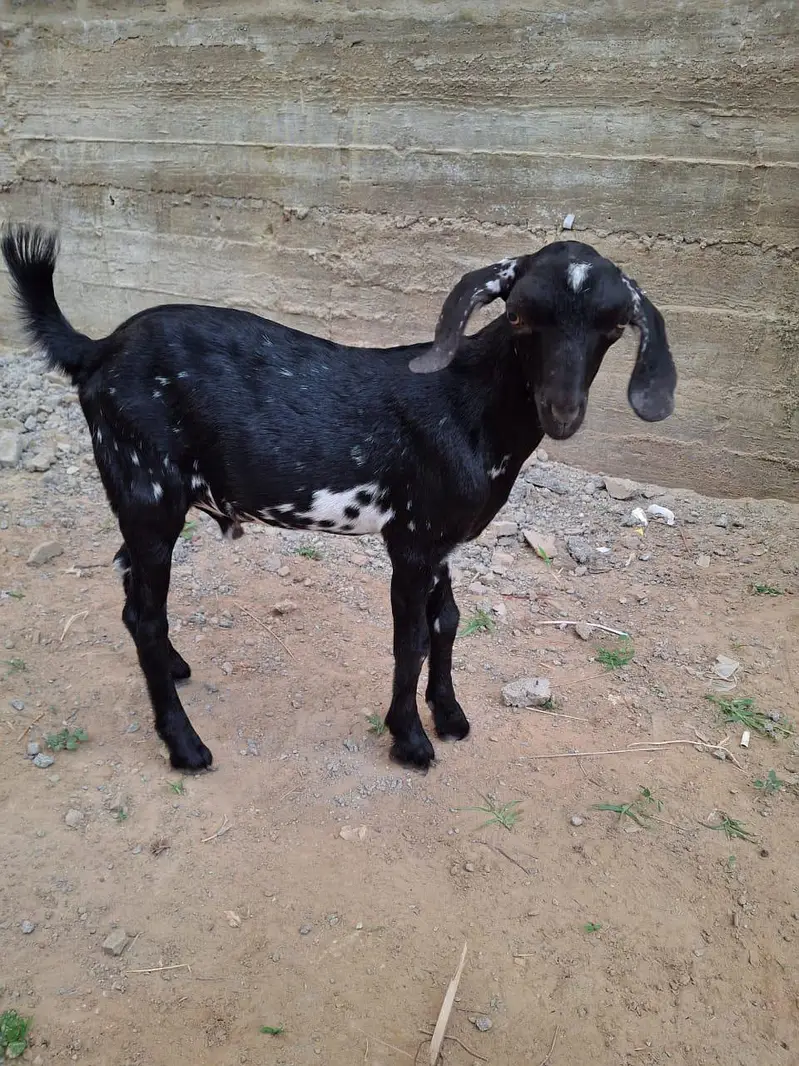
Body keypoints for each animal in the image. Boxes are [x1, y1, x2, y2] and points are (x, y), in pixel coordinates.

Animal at [2, 225, 676, 771]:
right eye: (517, 317)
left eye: (613, 325)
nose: (562, 412)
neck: (468, 405)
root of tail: (96, 351)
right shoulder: (411, 541)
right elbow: (412, 638)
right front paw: (410, 740)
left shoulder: (442, 541)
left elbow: (449, 622)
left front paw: (450, 717)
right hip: (149, 491)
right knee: (145, 614)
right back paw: (186, 747)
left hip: (137, 501)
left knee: (129, 590)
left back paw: (173, 668)